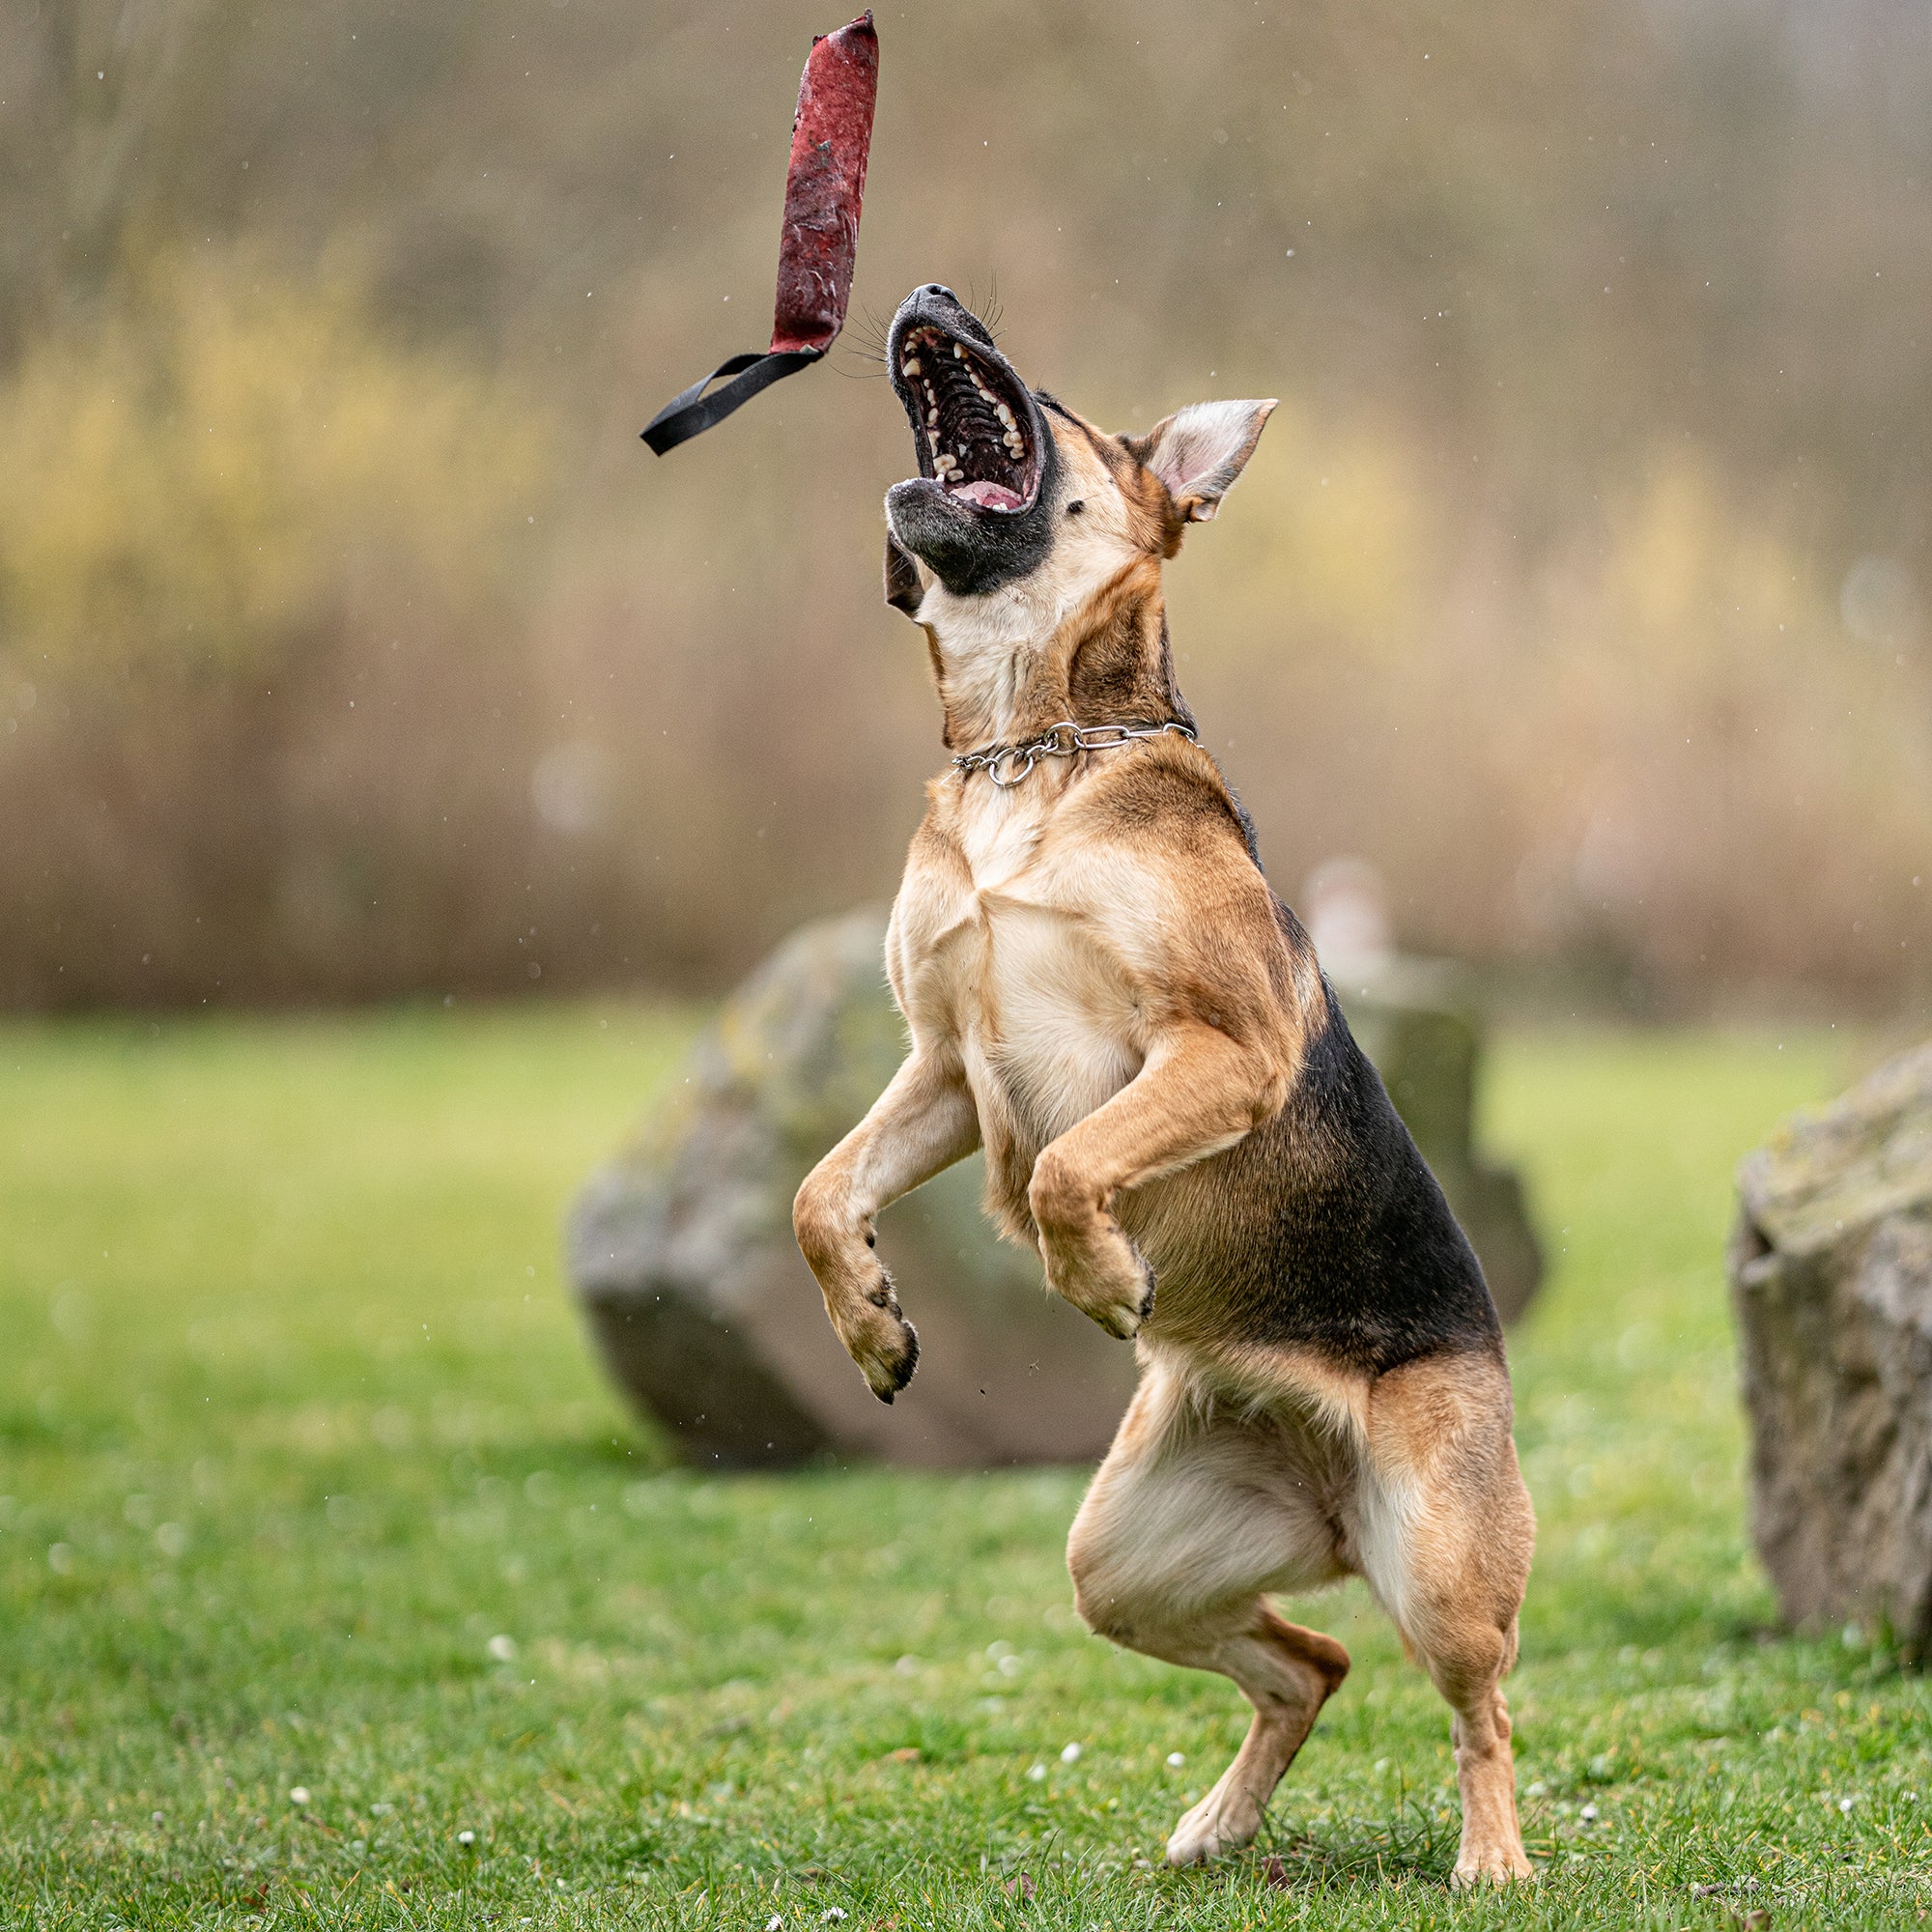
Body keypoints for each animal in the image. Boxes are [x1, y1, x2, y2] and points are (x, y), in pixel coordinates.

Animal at [792, 286, 1530, 1886]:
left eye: (1057, 394)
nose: (928, 294)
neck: (1032, 747)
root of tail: (1327, 1485)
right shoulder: (944, 1071)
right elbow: (822, 1198)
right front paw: (874, 1330)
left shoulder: (1215, 1048)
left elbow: (1079, 1164)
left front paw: (1104, 1283)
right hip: (1125, 1568)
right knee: (1311, 1662)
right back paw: (1220, 1822)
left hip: (1441, 1567)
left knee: (1478, 1707)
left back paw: (1494, 1860)